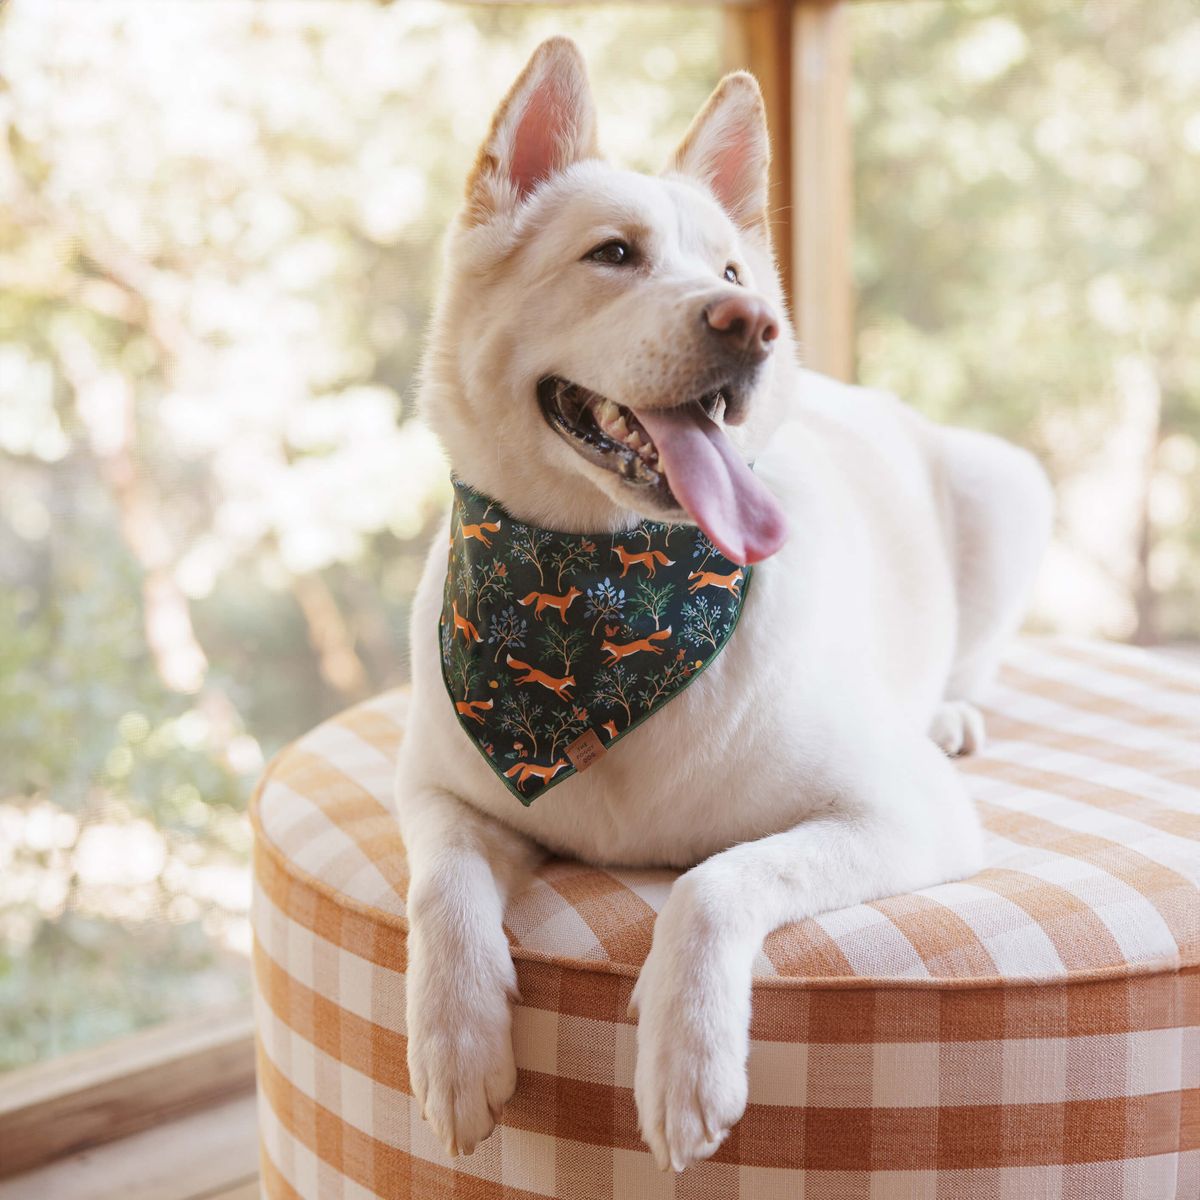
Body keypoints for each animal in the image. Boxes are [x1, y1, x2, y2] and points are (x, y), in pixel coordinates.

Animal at [393, 35, 1051, 1171]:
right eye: (613, 254)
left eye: (732, 273)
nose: (756, 324)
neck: (604, 595)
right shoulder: (435, 791)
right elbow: (444, 888)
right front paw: (455, 1043)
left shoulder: (902, 811)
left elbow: (714, 882)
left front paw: (687, 1061)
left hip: (1005, 487)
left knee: (968, 660)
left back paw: (950, 711)